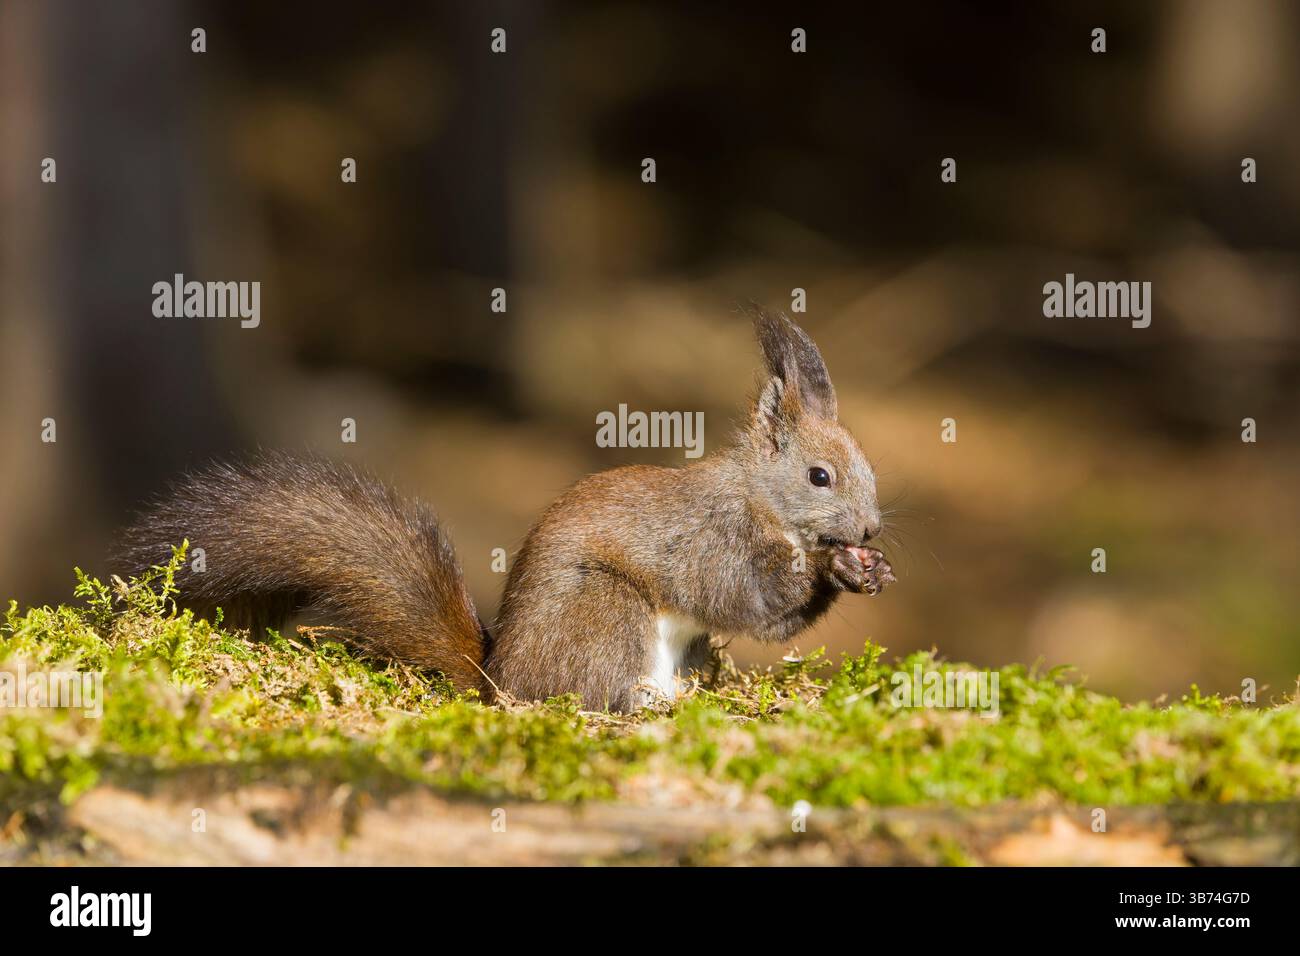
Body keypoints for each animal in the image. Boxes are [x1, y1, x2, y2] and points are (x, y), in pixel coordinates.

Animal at [118, 308, 895, 711]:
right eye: (820, 476)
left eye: (869, 471)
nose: (867, 529)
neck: (761, 500)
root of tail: (500, 679)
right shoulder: (713, 543)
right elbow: (753, 603)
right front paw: (834, 572)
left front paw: (872, 568)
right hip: (603, 612)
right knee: (586, 693)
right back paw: (650, 701)